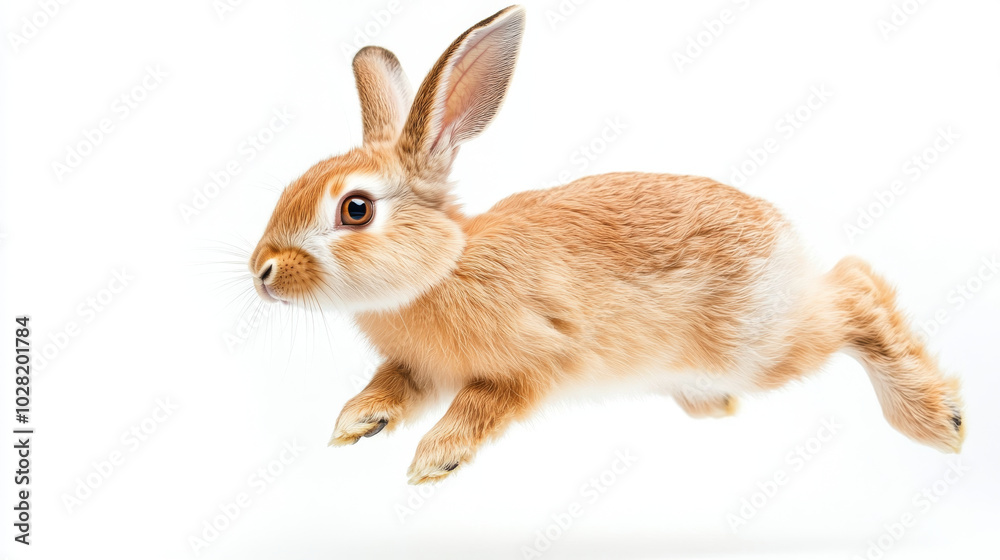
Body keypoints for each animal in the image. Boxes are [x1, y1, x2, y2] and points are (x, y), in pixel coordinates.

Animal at [248, 5, 964, 484]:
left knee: (856, 291)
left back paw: (938, 419)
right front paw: (356, 422)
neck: (442, 268)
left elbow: (484, 403)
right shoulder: (417, 368)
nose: (263, 271)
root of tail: (784, 240)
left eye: (355, 209)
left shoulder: (536, 357)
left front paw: (436, 458)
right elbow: (391, 385)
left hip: (760, 345)